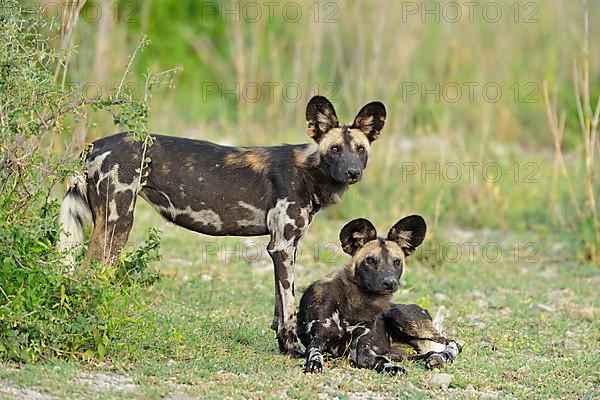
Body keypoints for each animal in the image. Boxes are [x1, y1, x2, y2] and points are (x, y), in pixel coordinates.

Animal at [59, 95, 384, 354]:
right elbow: (289, 307)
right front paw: (294, 348)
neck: (309, 171)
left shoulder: (283, 248)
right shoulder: (282, 246)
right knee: (89, 274)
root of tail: (96, 144)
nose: (353, 172)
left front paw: (282, 346)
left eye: (360, 149)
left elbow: (279, 306)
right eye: (335, 149)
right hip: (118, 224)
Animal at [298, 216, 462, 376]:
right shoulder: (318, 339)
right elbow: (314, 352)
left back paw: (441, 357)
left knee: (453, 343)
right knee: (427, 352)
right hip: (399, 352)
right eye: (370, 260)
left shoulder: (361, 349)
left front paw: (392, 369)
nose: (390, 283)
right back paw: (435, 357)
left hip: (400, 317)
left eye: (397, 262)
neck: (355, 304)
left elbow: (380, 360)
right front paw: (314, 363)